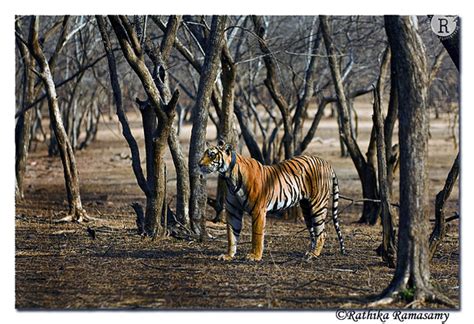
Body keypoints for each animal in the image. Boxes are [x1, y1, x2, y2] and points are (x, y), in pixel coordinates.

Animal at [198, 140, 346, 260]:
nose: (199, 164)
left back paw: (314, 254)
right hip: (306, 207)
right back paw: (309, 251)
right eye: (204, 154)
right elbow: (231, 234)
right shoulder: (233, 210)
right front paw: (229, 255)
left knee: (322, 232)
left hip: (317, 205)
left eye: (212, 154)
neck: (229, 178)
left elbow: (257, 235)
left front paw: (255, 256)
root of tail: (326, 162)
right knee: (313, 231)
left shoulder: (258, 210)